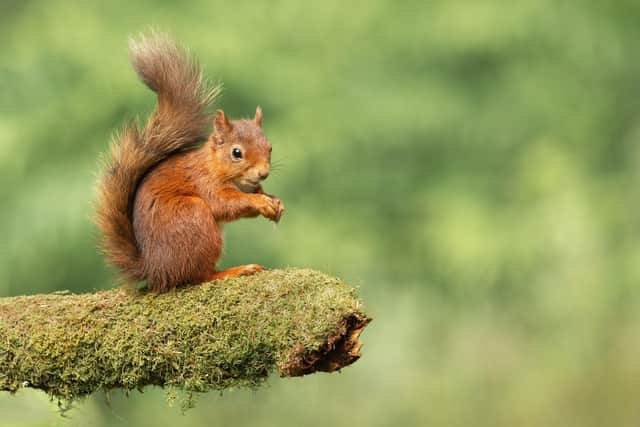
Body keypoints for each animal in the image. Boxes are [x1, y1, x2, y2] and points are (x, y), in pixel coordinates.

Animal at [95, 32, 285, 292]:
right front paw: (259, 202)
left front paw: (275, 202)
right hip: (194, 217)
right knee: (198, 276)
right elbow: (225, 203)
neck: (215, 165)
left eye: (270, 147)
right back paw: (234, 271)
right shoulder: (204, 181)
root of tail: (154, 271)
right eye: (236, 153)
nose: (263, 173)